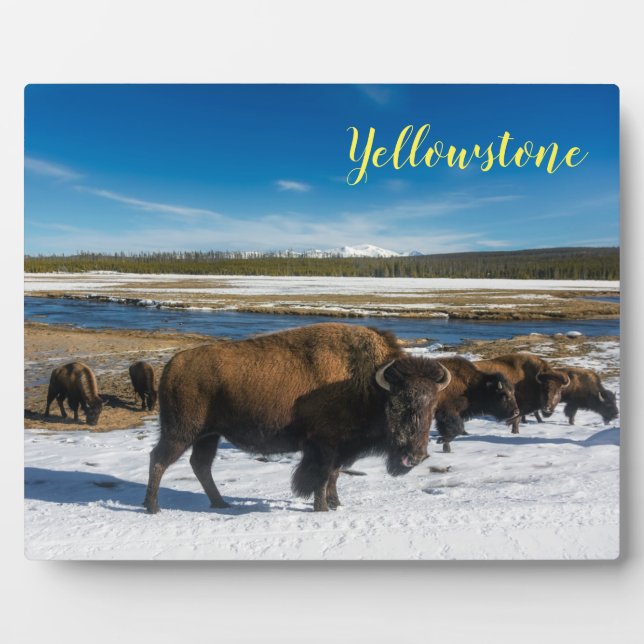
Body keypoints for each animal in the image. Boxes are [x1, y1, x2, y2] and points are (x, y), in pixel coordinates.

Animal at [143, 323, 452, 513]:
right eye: (396, 404)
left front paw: (336, 504)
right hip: (181, 431)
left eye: (432, 406)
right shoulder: (324, 447)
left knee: (200, 465)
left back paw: (220, 503)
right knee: (159, 459)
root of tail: (172, 365)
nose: (415, 456)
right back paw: (153, 507)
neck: (368, 384)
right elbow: (321, 478)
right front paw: (322, 508)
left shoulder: (339, 449)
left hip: (209, 435)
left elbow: (333, 476)